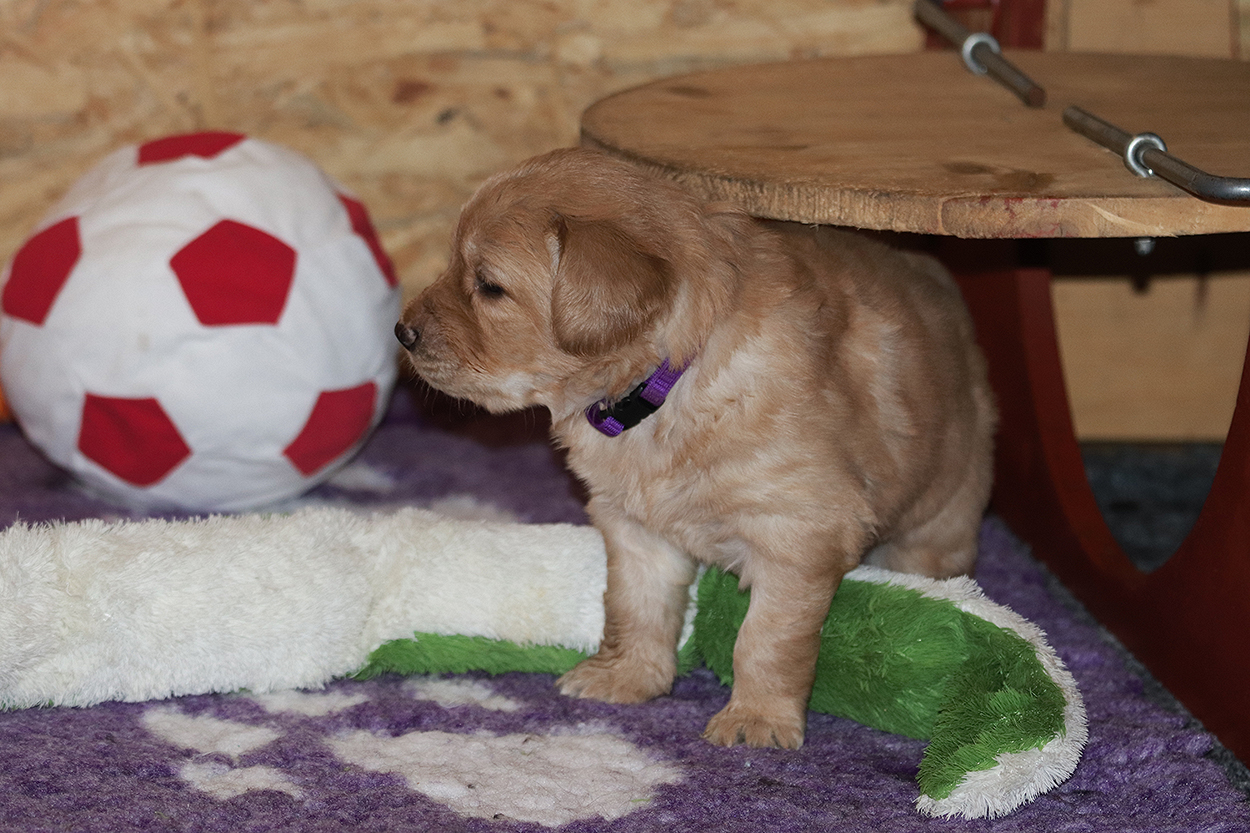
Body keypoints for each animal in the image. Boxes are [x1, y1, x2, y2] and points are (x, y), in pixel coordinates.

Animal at [395, 148, 996, 749]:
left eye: (489, 286)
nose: (402, 332)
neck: (665, 386)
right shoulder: (634, 527)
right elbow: (633, 606)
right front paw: (627, 676)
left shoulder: (798, 535)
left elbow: (767, 639)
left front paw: (758, 718)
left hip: (939, 521)